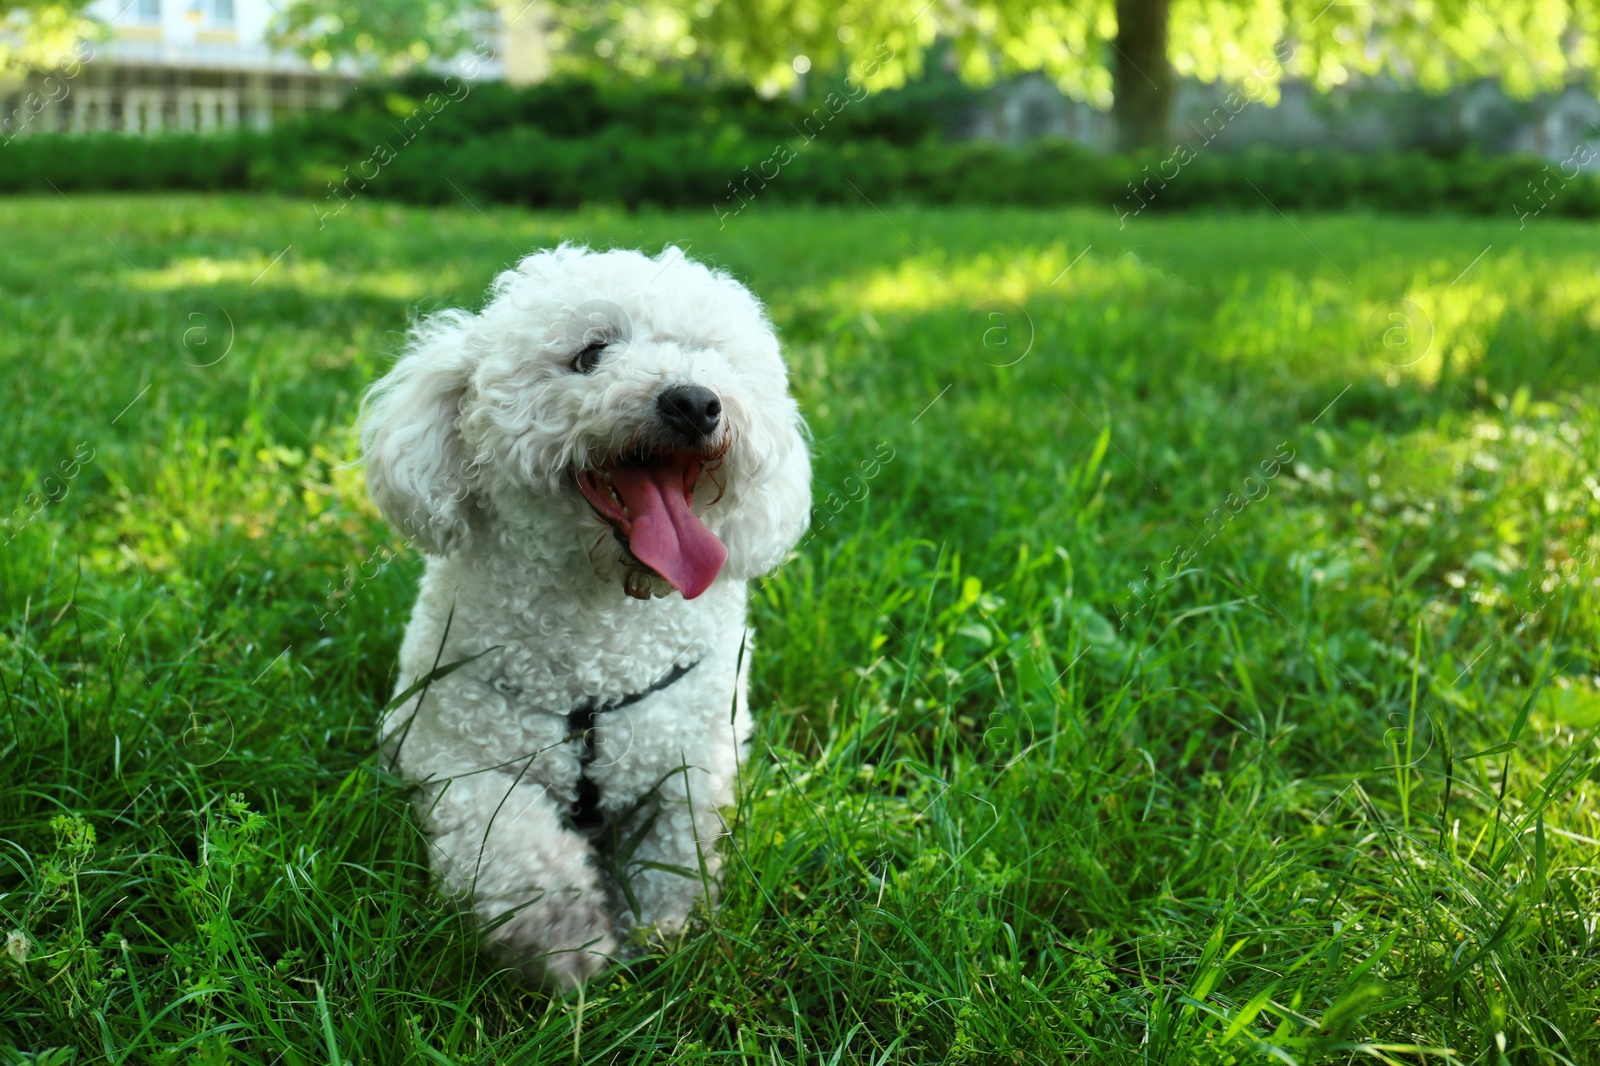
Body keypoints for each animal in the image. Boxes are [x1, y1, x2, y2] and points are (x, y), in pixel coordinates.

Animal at [363, 244, 812, 985]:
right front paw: (564, 937)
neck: (602, 643)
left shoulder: (698, 750)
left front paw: (664, 924)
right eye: (591, 353)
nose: (695, 401)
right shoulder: (447, 751)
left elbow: (679, 841)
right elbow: (506, 836)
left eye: (705, 353)